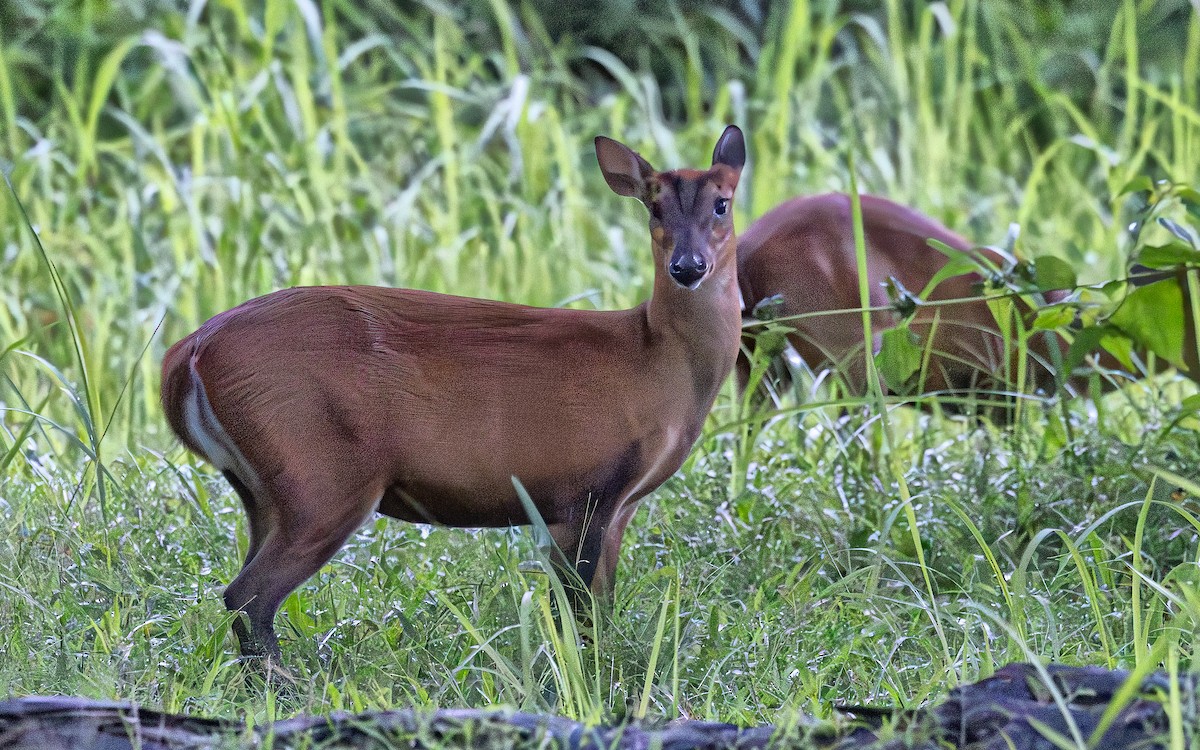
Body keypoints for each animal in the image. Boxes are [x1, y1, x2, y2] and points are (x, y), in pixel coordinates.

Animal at [160, 126, 747, 659]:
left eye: (722, 204)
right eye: (654, 208)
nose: (688, 267)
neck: (654, 360)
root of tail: (188, 353)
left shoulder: (615, 505)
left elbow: (599, 608)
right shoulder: (585, 490)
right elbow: (576, 614)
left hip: (261, 487)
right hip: (323, 476)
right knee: (247, 596)